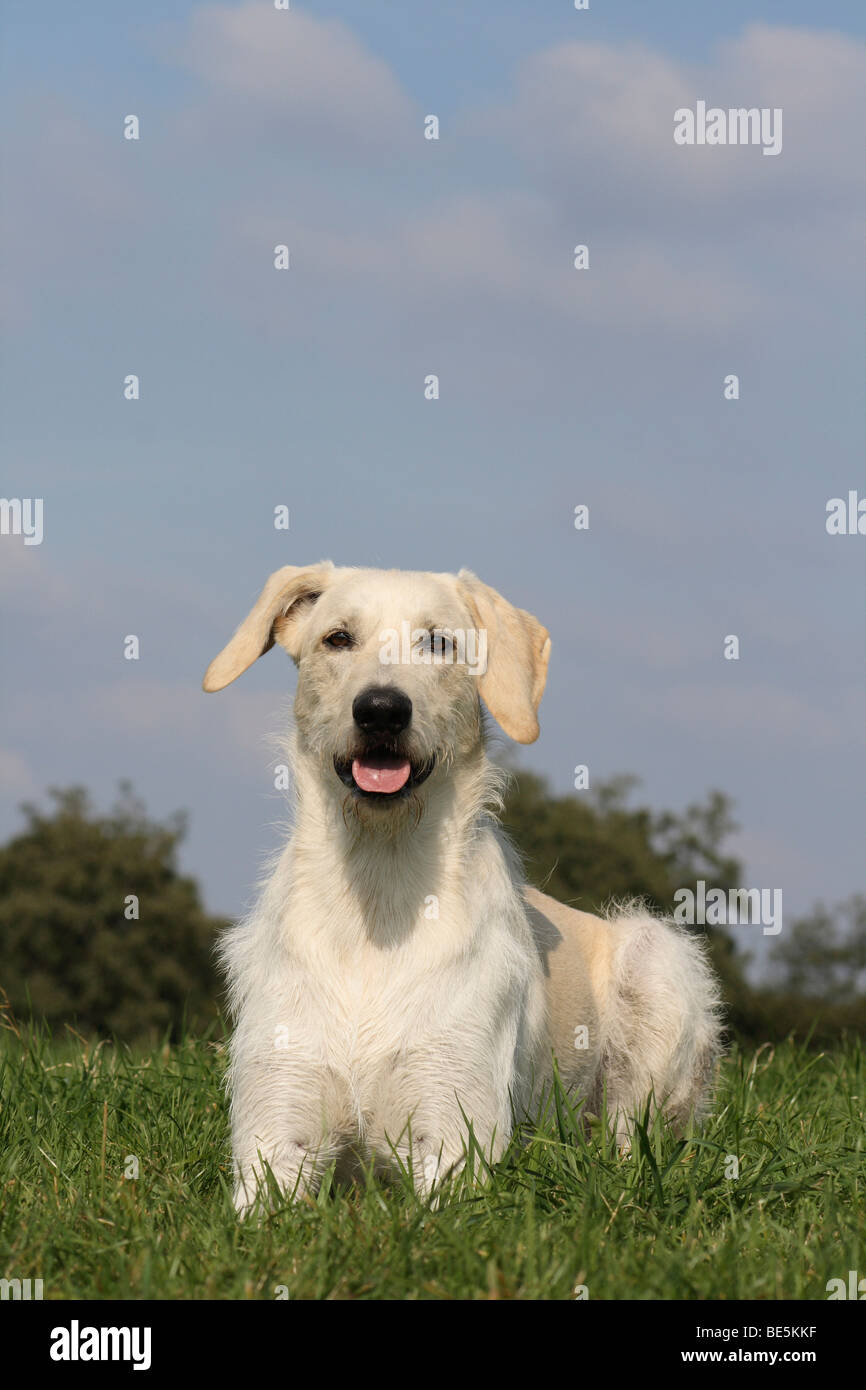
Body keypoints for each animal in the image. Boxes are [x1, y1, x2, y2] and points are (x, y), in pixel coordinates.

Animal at [202, 558, 722, 1212]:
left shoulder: (455, 1140)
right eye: (338, 638)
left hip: (657, 959)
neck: (381, 886)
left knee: (630, 1141)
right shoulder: (274, 1135)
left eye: (440, 643)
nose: (381, 709)